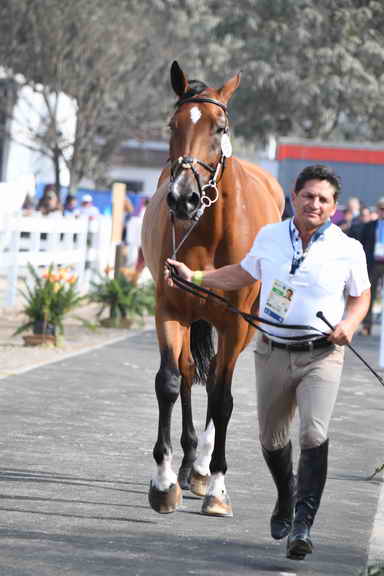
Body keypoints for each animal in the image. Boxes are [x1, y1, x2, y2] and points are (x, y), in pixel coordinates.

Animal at [141, 60, 284, 516]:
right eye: (173, 125)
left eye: (219, 128)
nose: (183, 198)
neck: (208, 230)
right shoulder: (170, 310)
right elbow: (169, 382)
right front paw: (164, 481)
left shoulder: (236, 324)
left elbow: (223, 400)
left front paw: (218, 487)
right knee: (189, 374)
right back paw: (189, 465)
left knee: (221, 381)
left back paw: (203, 469)